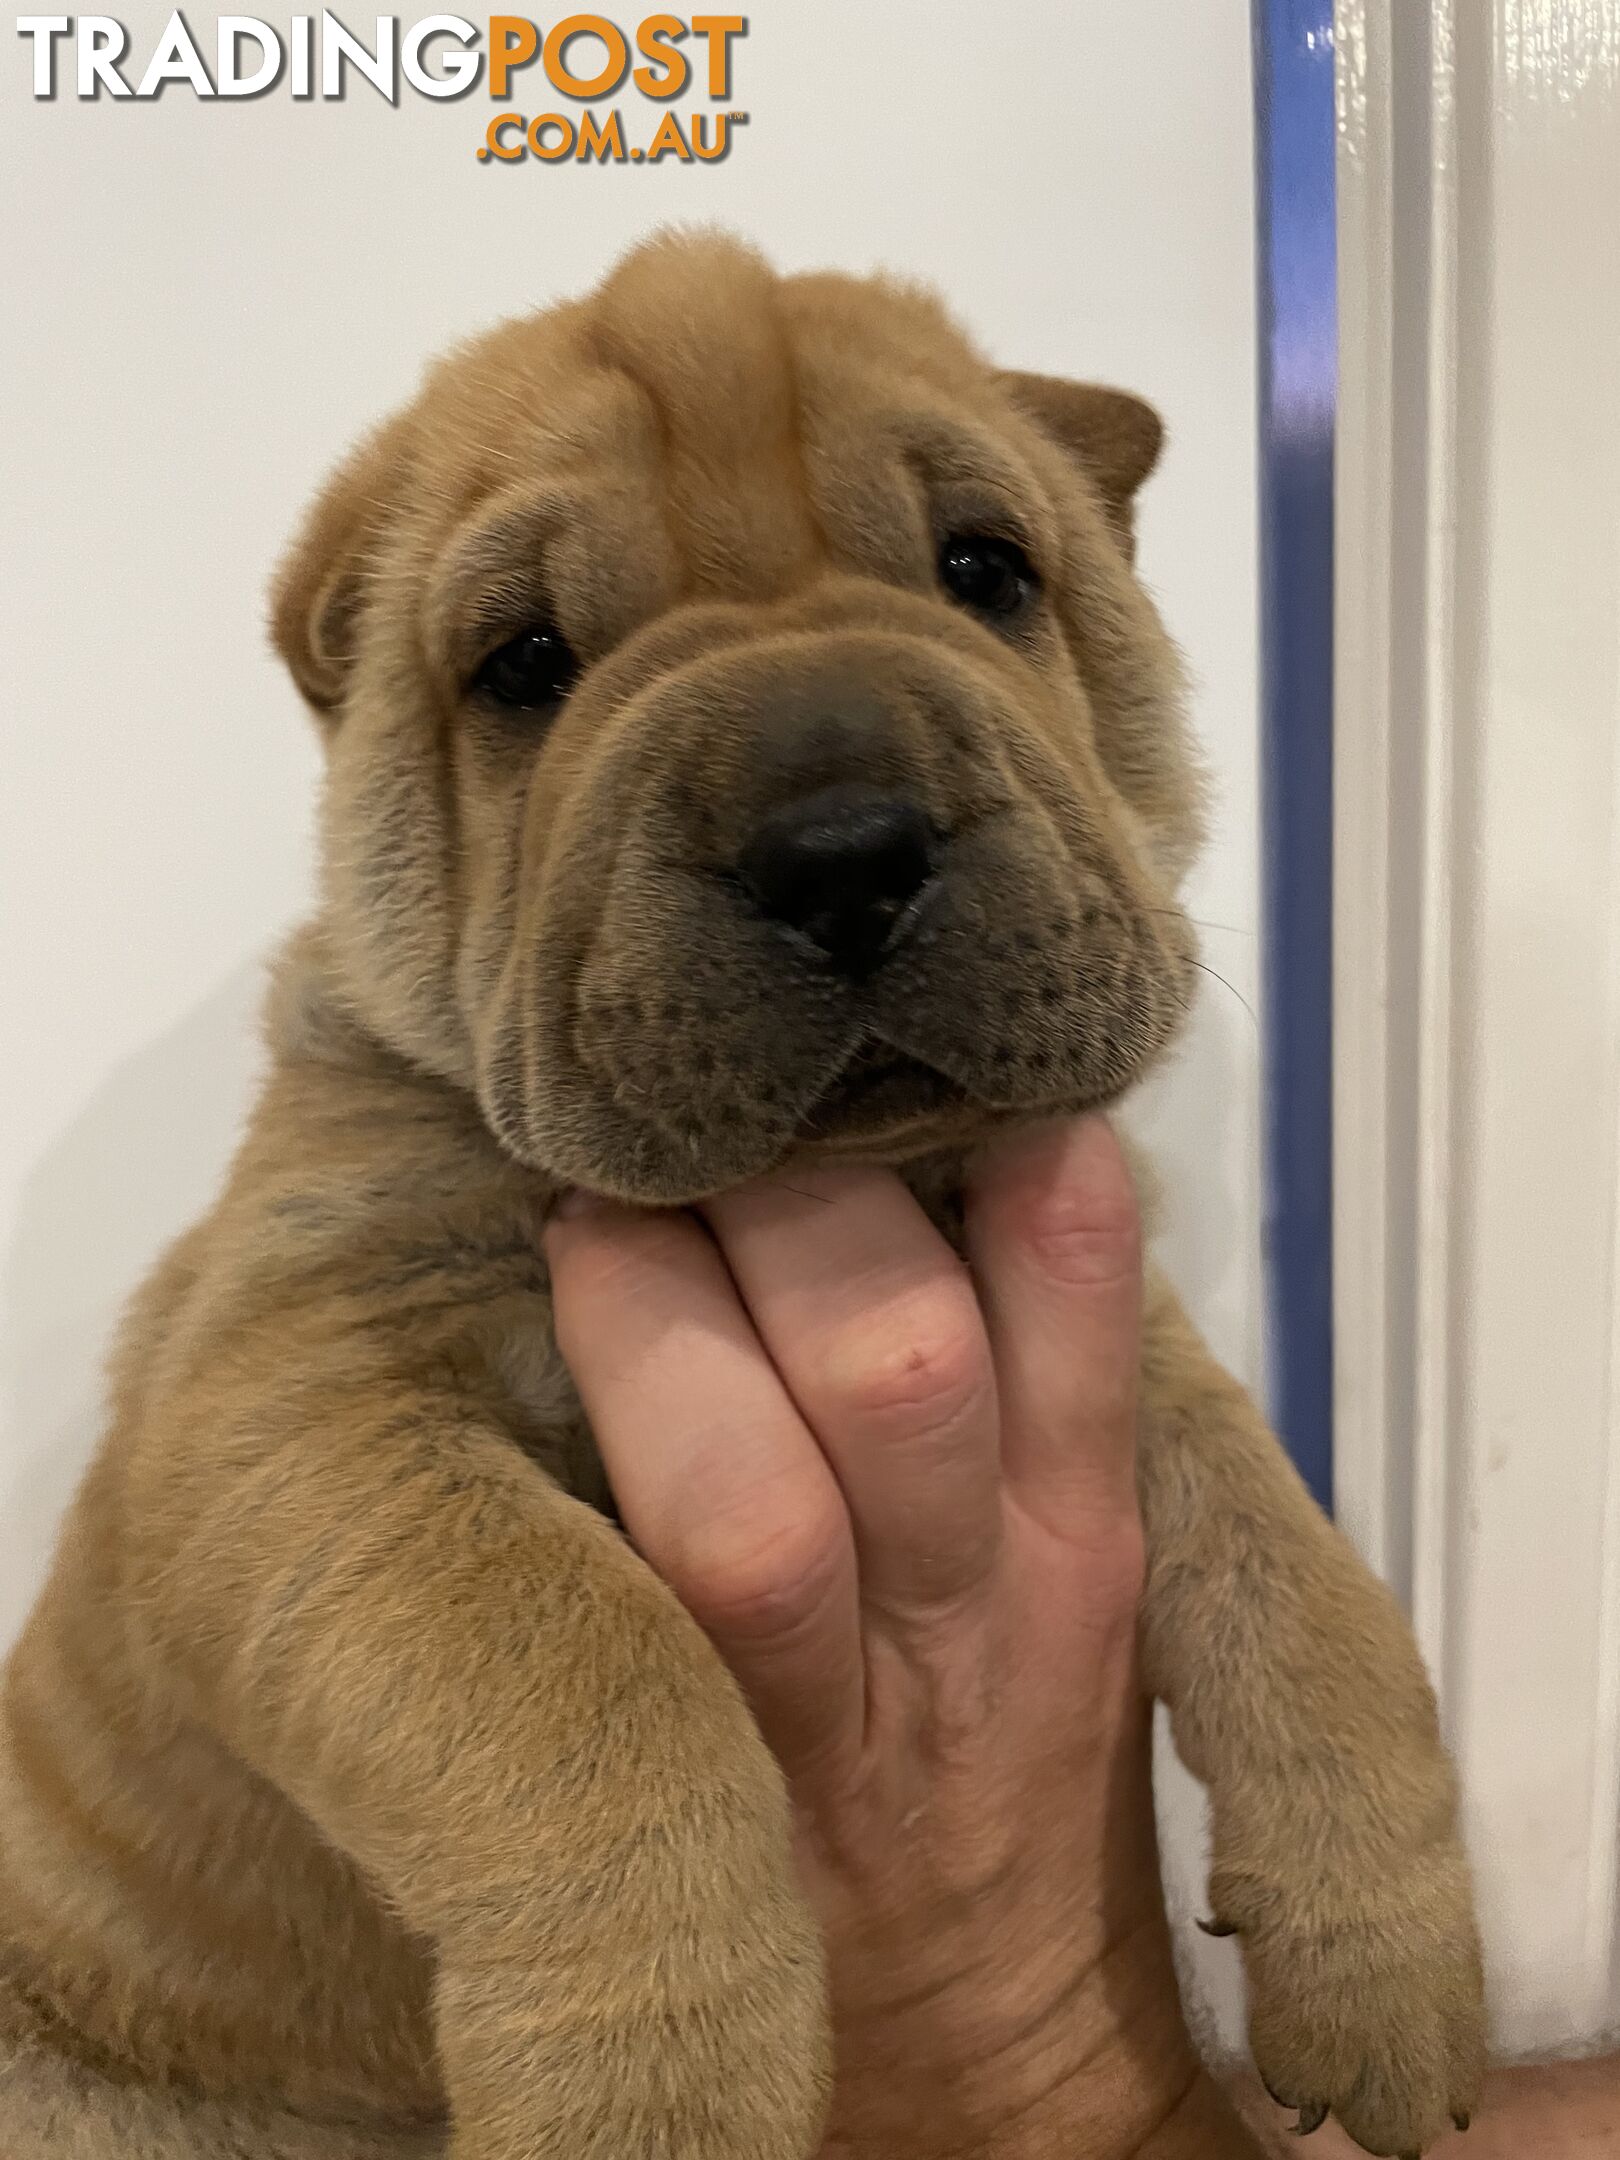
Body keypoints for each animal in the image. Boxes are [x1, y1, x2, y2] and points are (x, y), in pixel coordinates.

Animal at [0, 227, 1486, 2151]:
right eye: (525, 662)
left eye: (985, 569)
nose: (839, 850)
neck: (852, 1173)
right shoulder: (292, 1394)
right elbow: (585, 1666)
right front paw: (654, 2087)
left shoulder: (1128, 1333)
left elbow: (1296, 1567)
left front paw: (1388, 1949)